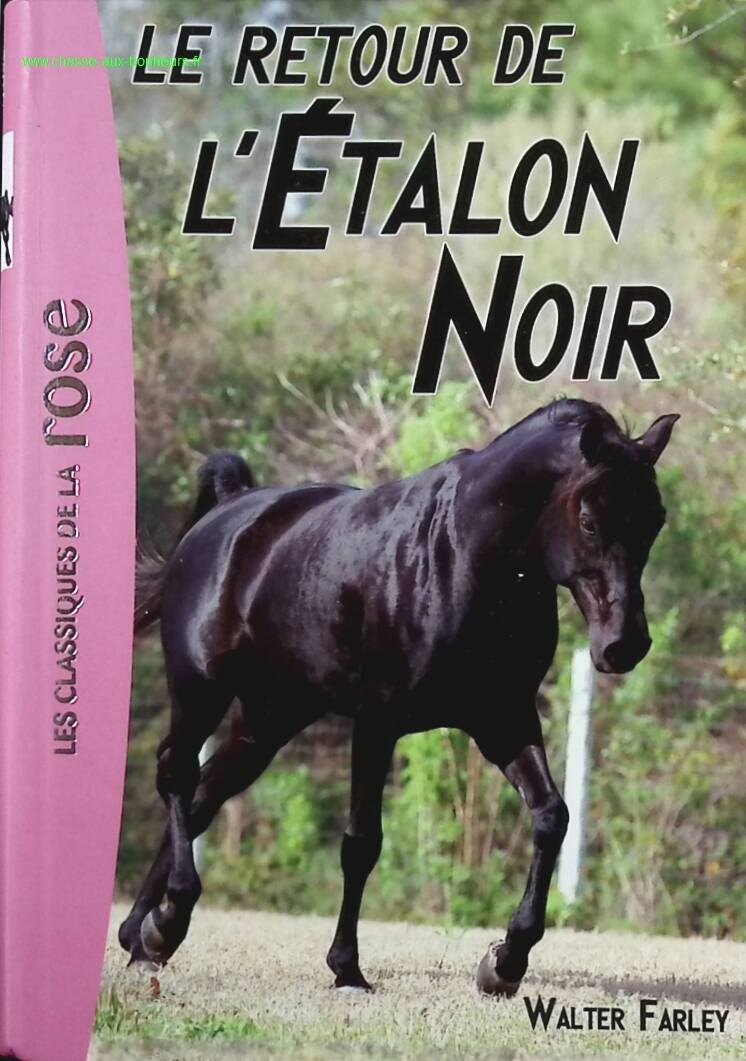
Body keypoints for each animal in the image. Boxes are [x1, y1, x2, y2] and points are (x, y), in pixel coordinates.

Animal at [119, 398, 678, 996]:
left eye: (655, 520)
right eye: (591, 520)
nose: (625, 645)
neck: (466, 558)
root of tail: (228, 511)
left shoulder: (503, 720)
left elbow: (552, 816)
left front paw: (506, 960)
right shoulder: (377, 722)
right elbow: (361, 843)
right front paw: (347, 967)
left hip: (267, 721)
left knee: (204, 795)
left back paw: (143, 936)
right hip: (201, 691)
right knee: (177, 775)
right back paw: (166, 921)